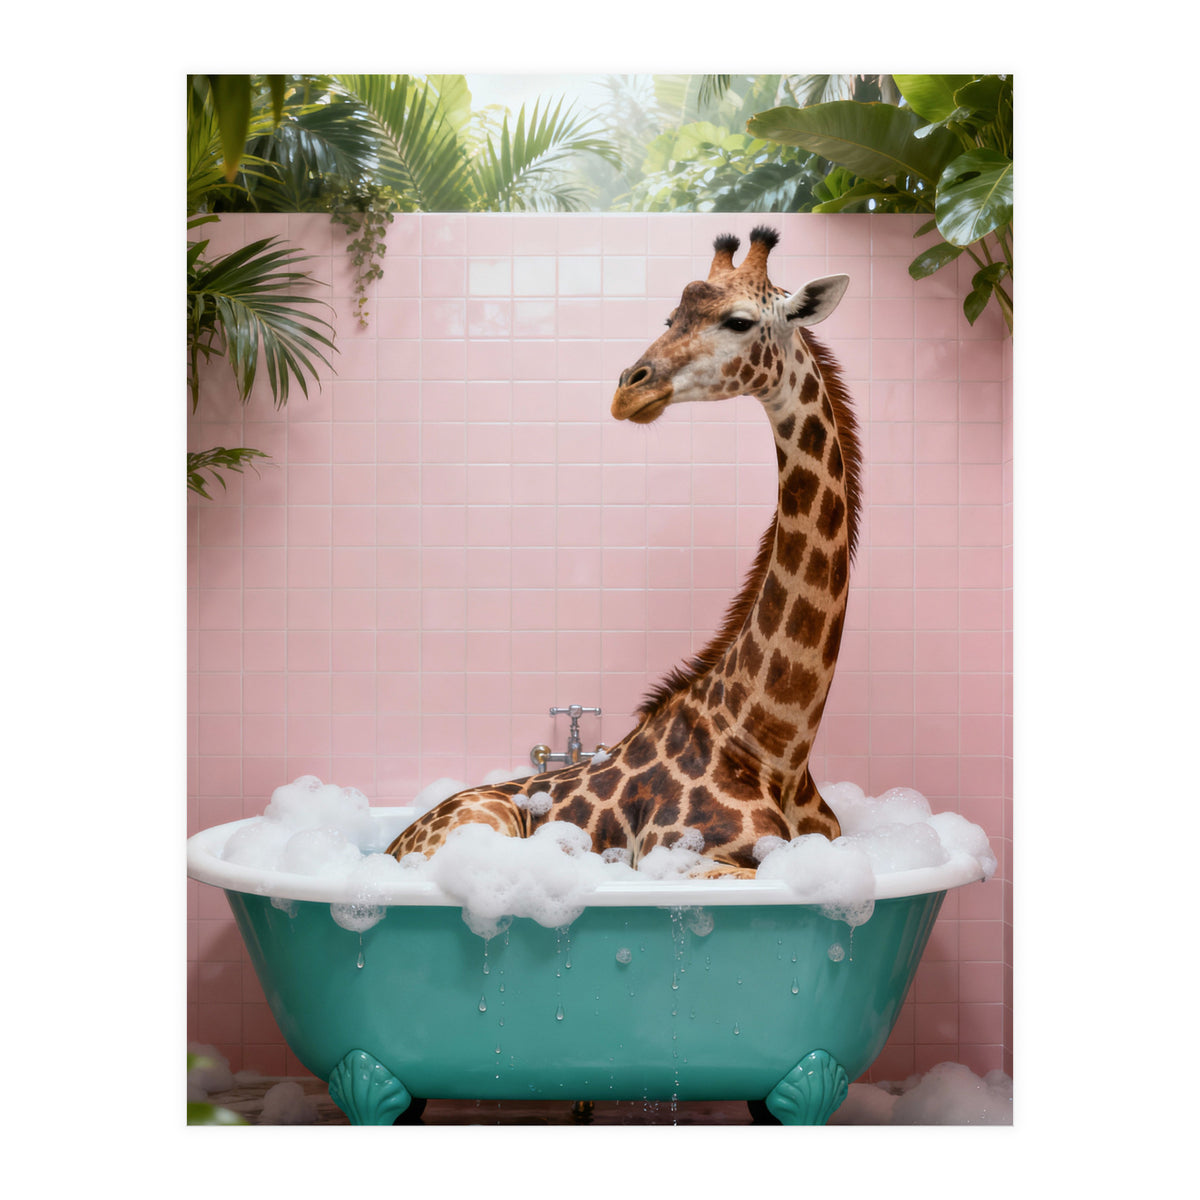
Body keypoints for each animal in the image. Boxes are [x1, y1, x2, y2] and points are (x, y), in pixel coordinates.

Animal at [386, 226, 862, 878]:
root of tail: (391, 845)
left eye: (739, 321)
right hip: (486, 823)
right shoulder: (681, 856)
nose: (629, 389)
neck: (777, 747)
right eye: (669, 316)